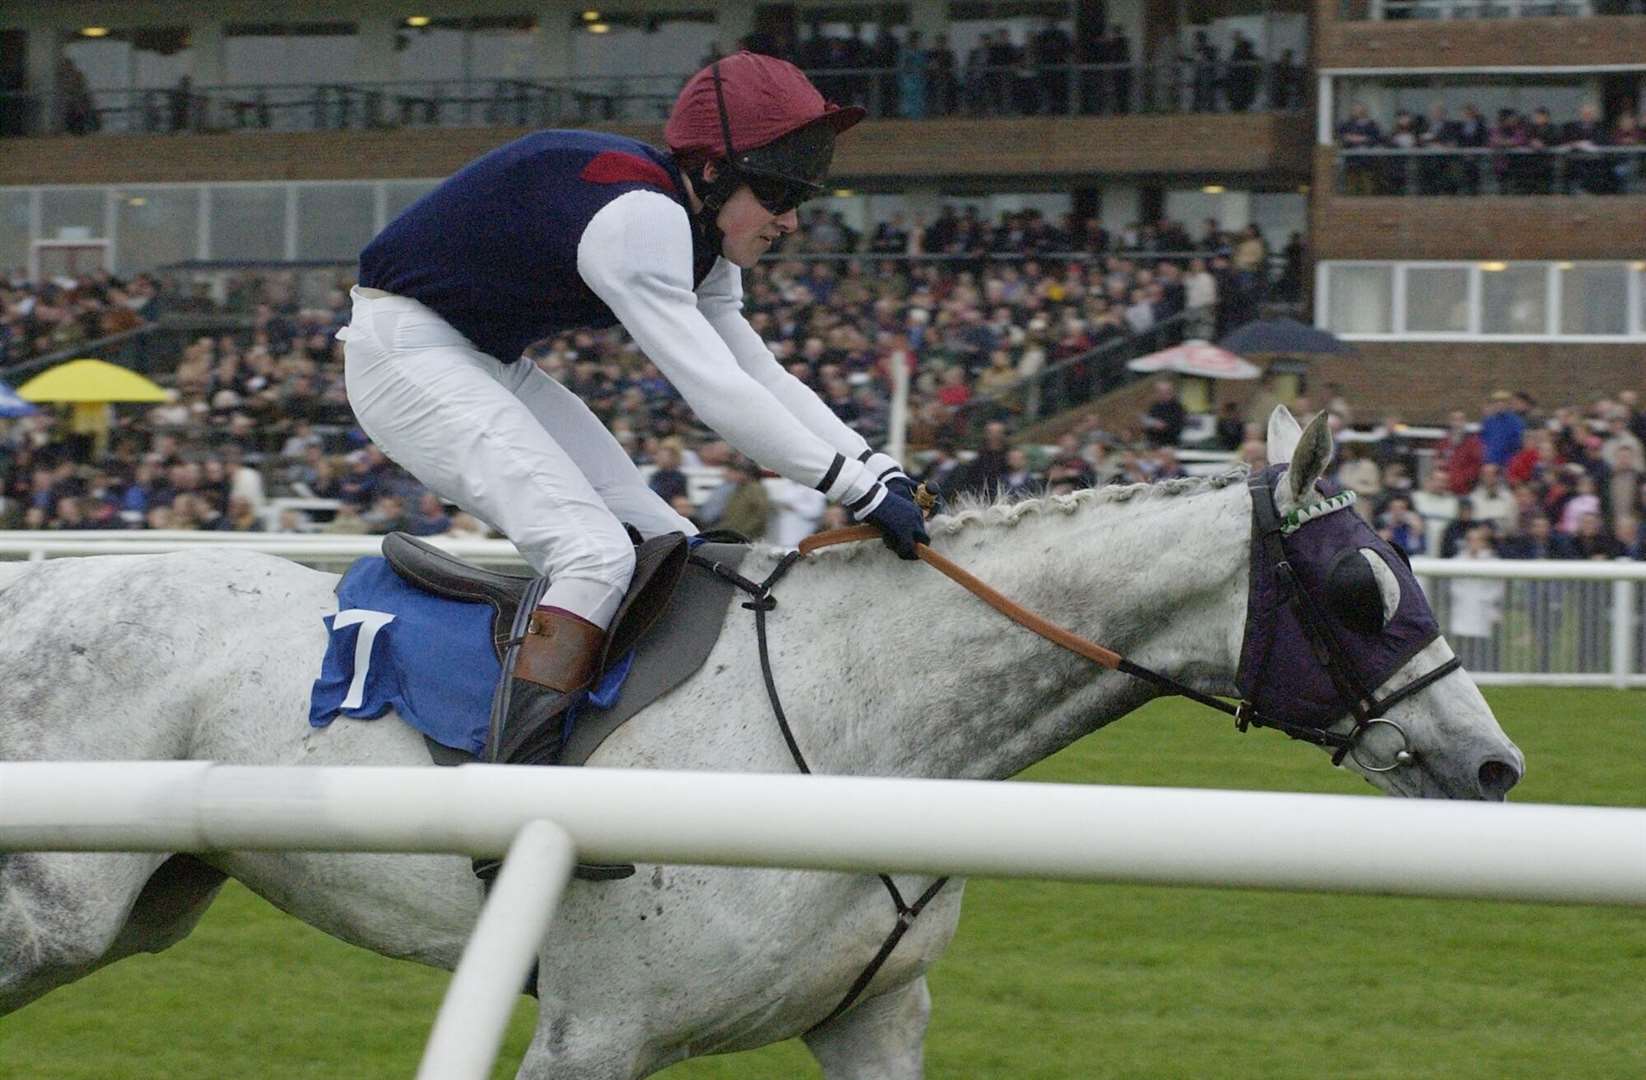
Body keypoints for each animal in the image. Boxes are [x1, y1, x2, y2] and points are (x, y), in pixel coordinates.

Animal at [0, 409, 1514, 1073]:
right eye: (1358, 591)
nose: (1492, 765)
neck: (852, 725)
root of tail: (42, 580)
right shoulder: (596, 1033)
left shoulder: (873, 1019)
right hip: (60, 913)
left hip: (150, 900)